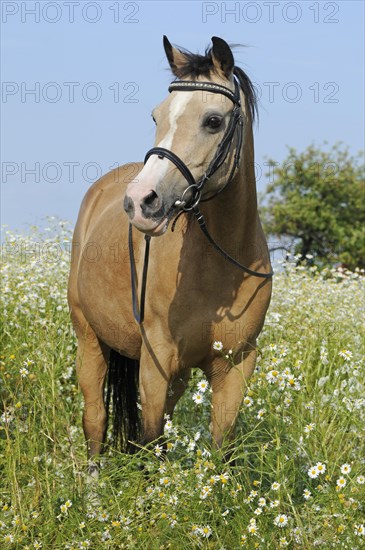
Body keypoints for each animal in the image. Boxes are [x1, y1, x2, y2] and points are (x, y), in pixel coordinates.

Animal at [68, 35, 272, 478]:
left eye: (212, 121)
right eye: (156, 115)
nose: (140, 201)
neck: (219, 263)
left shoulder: (235, 365)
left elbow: (221, 447)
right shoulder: (155, 359)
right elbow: (149, 440)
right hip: (89, 339)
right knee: (95, 420)